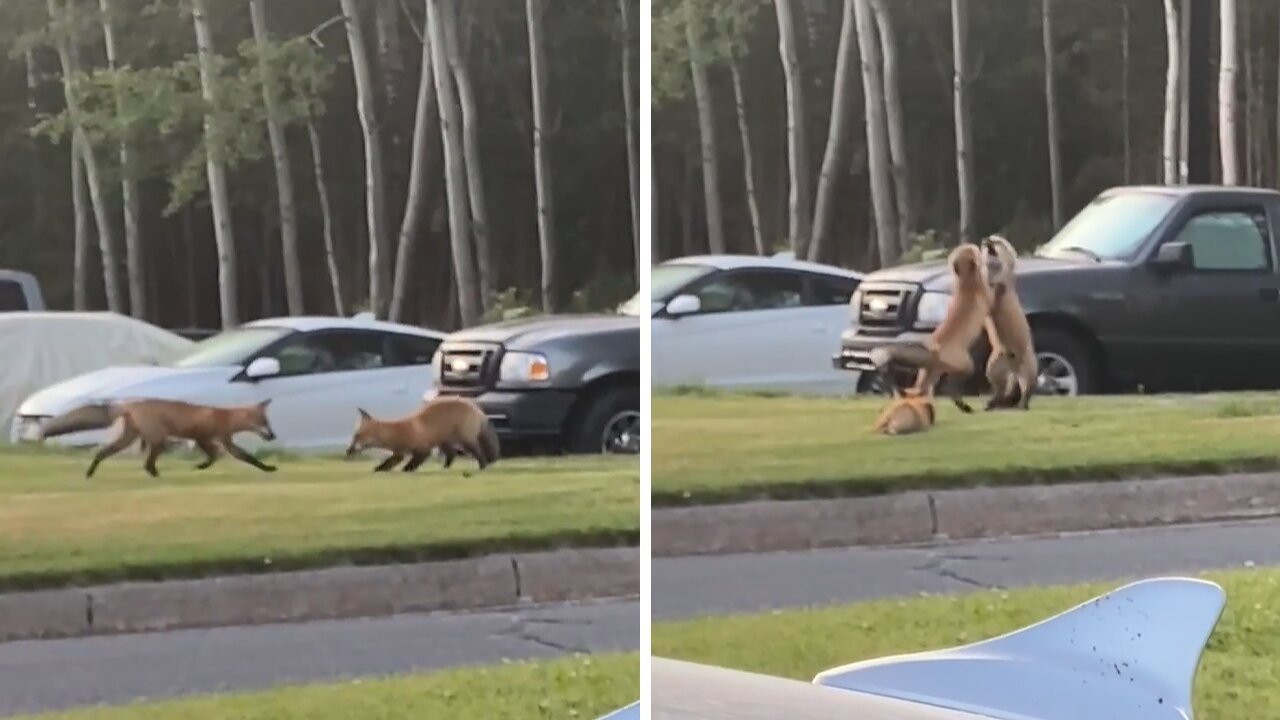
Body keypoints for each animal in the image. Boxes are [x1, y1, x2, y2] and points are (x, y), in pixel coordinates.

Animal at [40, 397, 277, 476]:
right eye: (265, 424)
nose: (273, 436)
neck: (224, 418)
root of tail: (126, 403)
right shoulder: (203, 438)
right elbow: (215, 456)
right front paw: (201, 466)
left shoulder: (225, 441)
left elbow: (247, 458)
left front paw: (267, 468)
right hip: (159, 441)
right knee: (147, 464)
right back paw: (157, 476)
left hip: (130, 439)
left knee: (102, 452)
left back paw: (90, 473)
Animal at [345, 394, 499, 474]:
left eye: (357, 436)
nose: (347, 451)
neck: (397, 432)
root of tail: (477, 409)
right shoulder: (399, 453)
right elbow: (388, 463)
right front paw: (379, 469)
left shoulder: (423, 449)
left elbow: (412, 463)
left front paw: (406, 470)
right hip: (443, 441)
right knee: (452, 454)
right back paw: (445, 468)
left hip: (465, 440)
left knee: (477, 452)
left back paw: (482, 466)